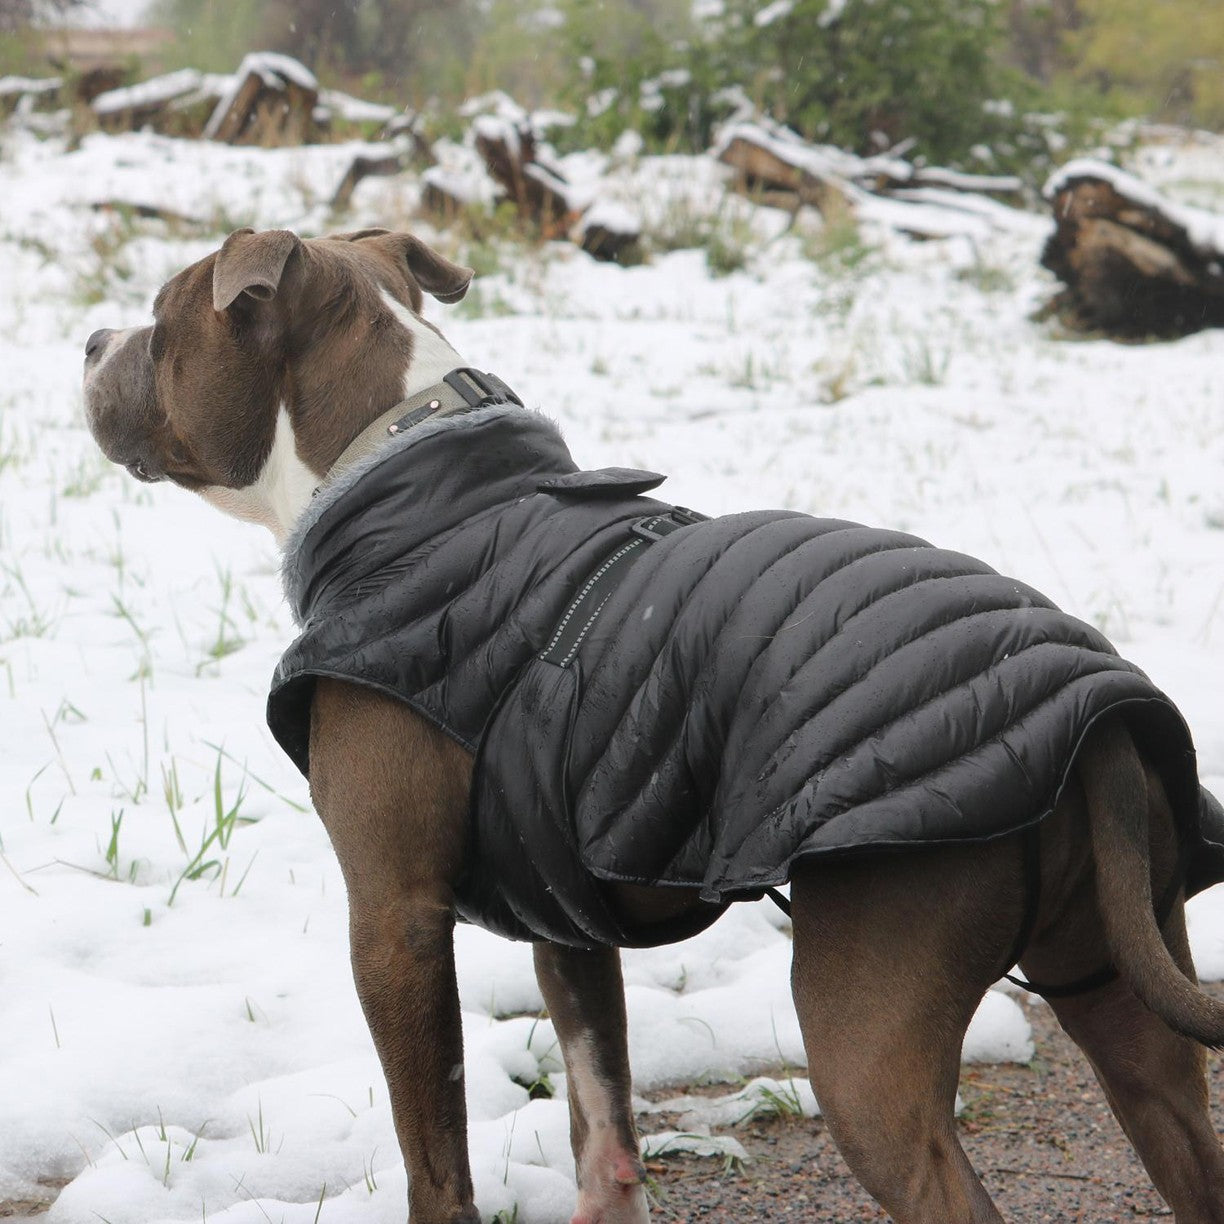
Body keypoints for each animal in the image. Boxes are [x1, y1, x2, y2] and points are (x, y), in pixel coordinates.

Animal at [81, 225, 1224, 1219]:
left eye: (161, 321)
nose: (91, 340)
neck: (404, 478)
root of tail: (1102, 723)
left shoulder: (394, 918)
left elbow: (435, 1155)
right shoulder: (563, 917)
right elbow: (603, 1125)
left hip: (869, 1034)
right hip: (1128, 1002)